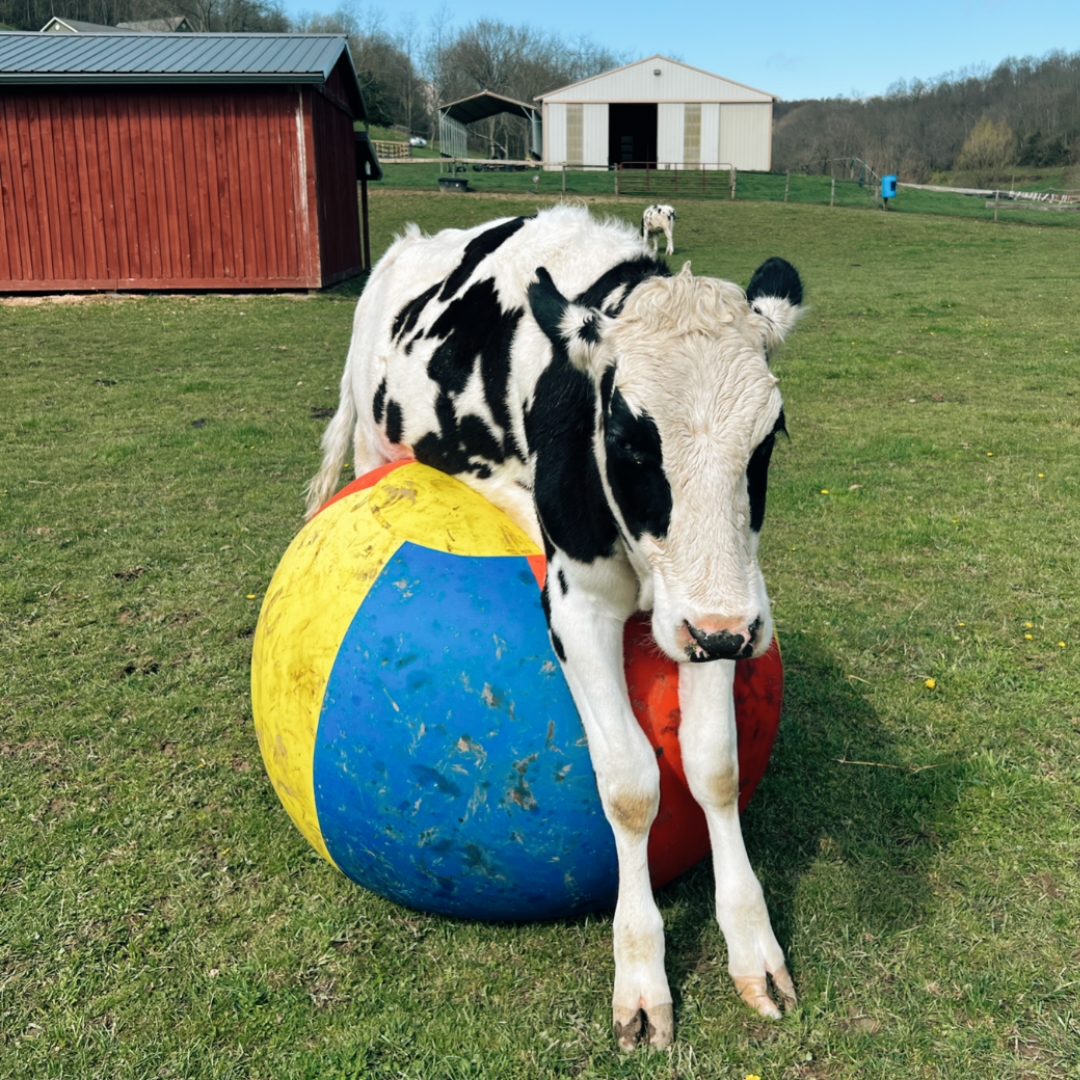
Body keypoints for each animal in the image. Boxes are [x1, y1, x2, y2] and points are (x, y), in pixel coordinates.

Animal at [306, 205, 804, 1050]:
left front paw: (754, 948)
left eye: (768, 438)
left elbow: (714, 766)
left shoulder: (704, 611)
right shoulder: (579, 605)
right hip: (376, 446)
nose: (729, 634)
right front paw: (640, 975)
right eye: (630, 438)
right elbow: (631, 786)